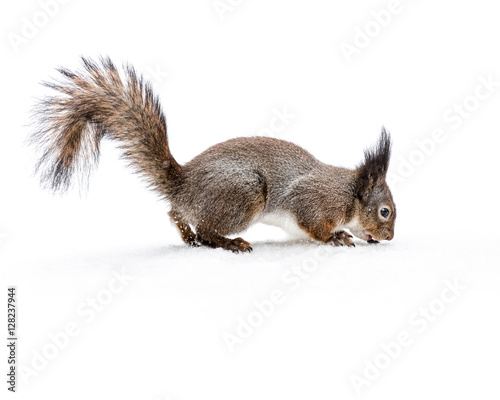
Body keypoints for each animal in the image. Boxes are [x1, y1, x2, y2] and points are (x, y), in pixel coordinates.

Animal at [30, 57, 398, 253]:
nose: (389, 237)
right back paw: (229, 242)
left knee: (175, 213)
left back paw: (189, 236)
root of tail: (184, 185)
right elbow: (314, 226)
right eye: (384, 211)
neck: (348, 193)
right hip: (244, 194)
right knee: (208, 228)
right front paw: (337, 237)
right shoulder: (315, 202)